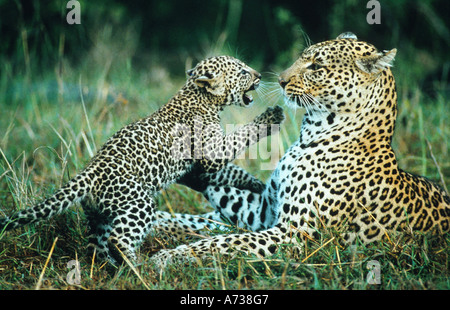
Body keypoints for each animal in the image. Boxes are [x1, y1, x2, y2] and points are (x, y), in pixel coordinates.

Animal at [0, 55, 284, 264]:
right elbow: (241, 136)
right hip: (138, 202)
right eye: (243, 72)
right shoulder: (211, 153)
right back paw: (139, 266)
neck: (199, 97)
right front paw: (268, 118)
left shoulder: (200, 169)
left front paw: (258, 185)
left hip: (100, 216)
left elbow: (233, 173)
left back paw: (111, 268)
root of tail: (89, 173)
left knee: (96, 245)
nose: (259, 75)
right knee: (119, 239)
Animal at [150, 32, 450, 268]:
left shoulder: (293, 233)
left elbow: (224, 242)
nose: (280, 80)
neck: (311, 133)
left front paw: (169, 257)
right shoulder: (262, 210)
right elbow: (197, 216)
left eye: (316, 66)